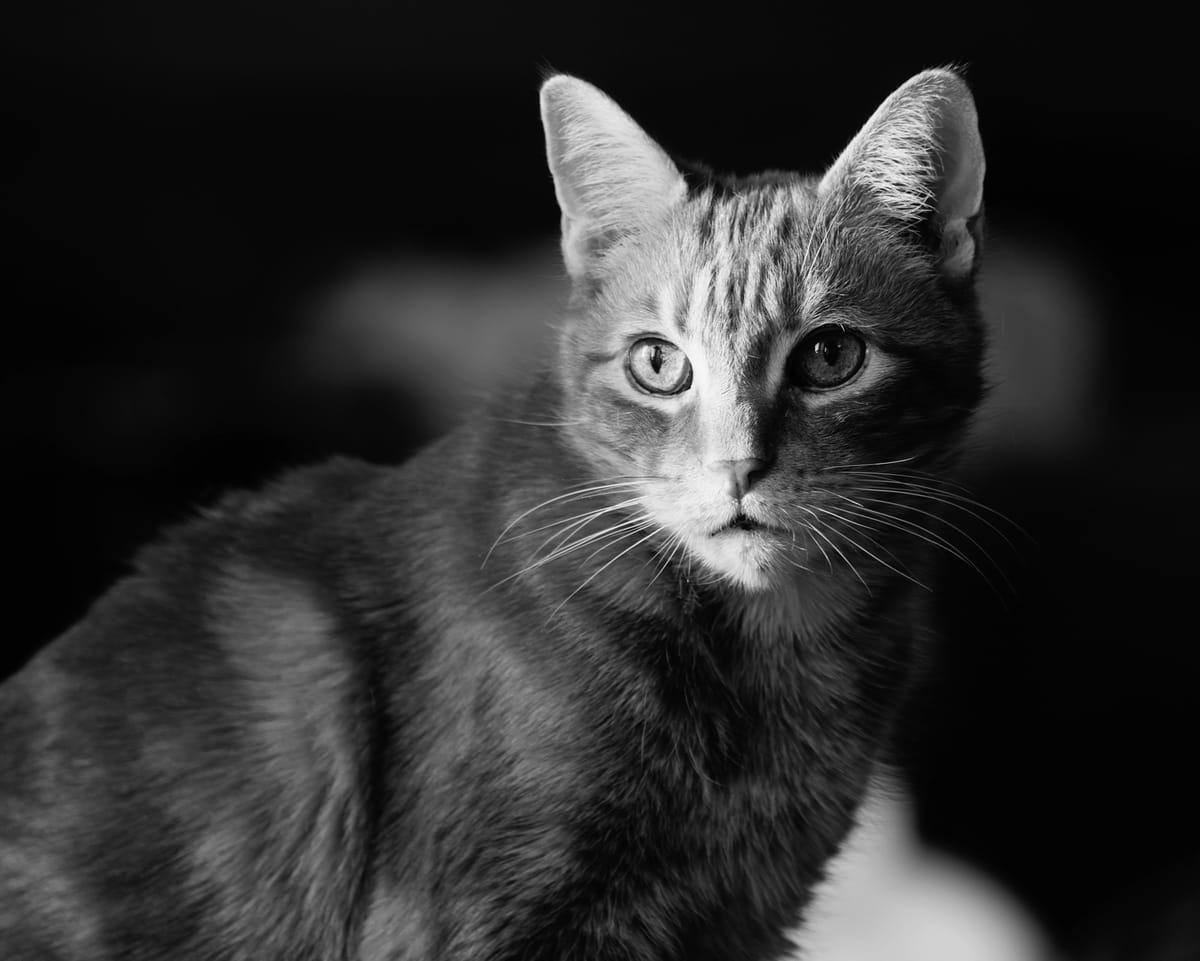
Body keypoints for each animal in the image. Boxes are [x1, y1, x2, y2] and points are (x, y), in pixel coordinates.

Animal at [0, 69, 984, 959]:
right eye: (658, 364)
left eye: (830, 356)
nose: (738, 467)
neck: (770, 651)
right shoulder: (477, 920)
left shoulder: (746, 918)